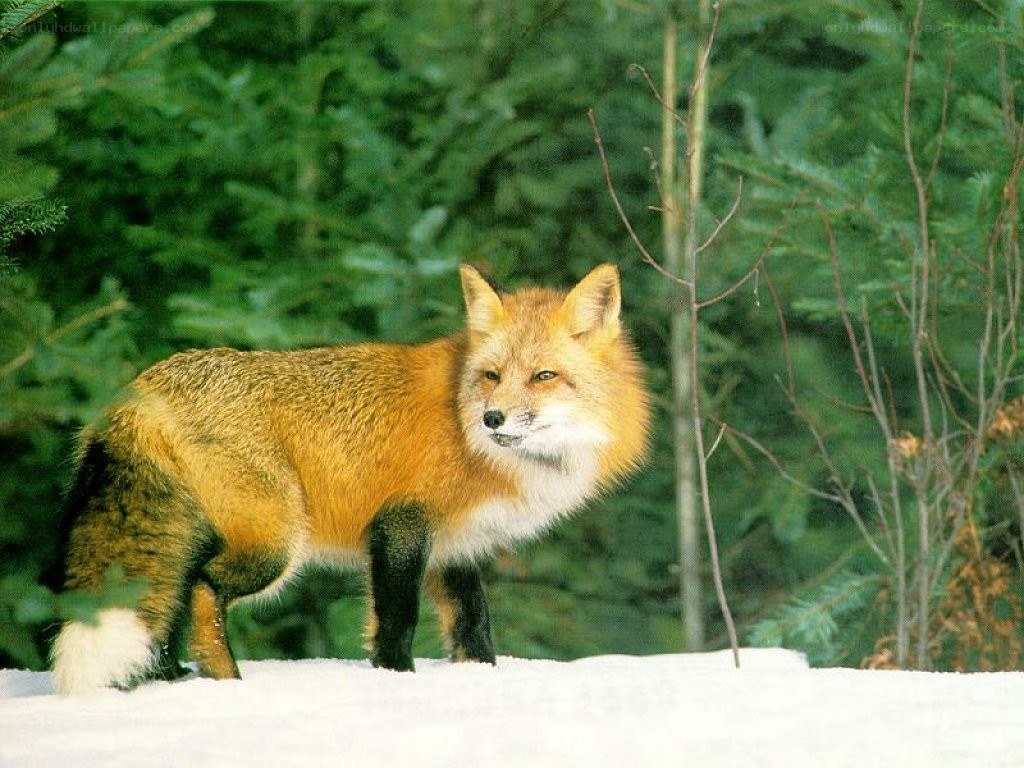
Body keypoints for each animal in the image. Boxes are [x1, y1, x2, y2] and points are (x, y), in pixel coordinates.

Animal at [49, 263, 650, 694]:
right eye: (491, 376)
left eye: (544, 376)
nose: (493, 418)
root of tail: (144, 384)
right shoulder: (401, 525)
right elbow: (398, 618)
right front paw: (395, 679)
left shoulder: (457, 546)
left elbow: (474, 628)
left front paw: (478, 680)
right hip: (275, 543)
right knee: (201, 590)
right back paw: (227, 684)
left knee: (172, 599)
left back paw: (168, 682)